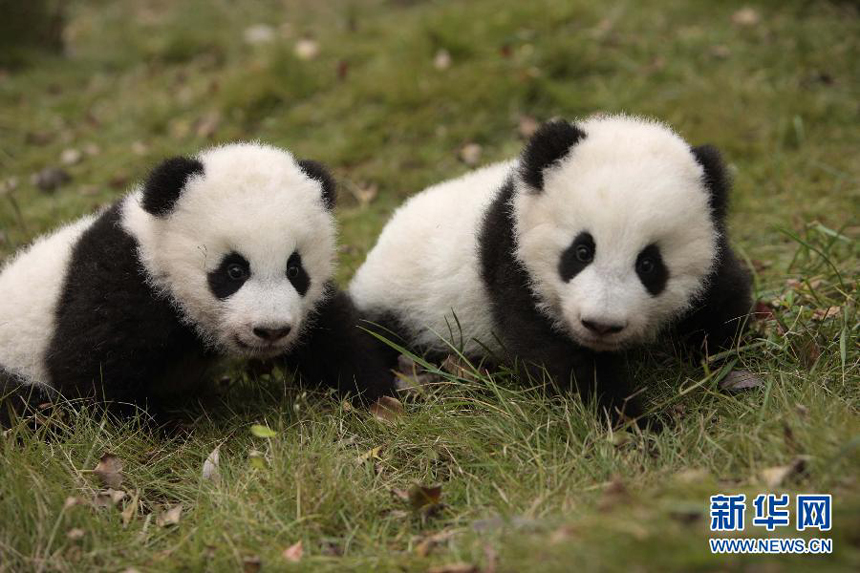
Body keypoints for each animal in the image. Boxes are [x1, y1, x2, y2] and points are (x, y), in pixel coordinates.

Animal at [0, 142, 393, 423]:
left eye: (294, 269)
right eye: (234, 271)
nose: (271, 331)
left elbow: (332, 336)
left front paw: (379, 393)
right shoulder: (122, 284)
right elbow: (85, 370)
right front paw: (156, 429)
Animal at [350, 114, 753, 421]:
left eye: (649, 264)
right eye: (581, 251)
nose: (601, 325)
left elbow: (722, 299)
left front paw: (728, 362)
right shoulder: (515, 260)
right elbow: (554, 356)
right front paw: (634, 420)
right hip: (402, 305)